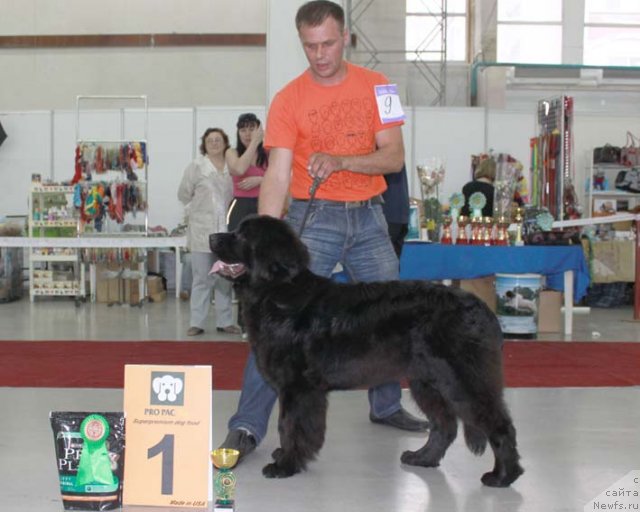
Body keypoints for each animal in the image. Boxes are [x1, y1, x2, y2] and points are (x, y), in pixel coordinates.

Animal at [208, 215, 524, 488]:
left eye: (242, 235)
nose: (212, 237)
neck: (277, 291)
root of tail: (484, 310)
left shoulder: (298, 387)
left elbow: (289, 425)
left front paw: (285, 464)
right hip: (427, 381)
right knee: (444, 425)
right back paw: (422, 458)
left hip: (462, 378)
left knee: (499, 423)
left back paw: (503, 476)